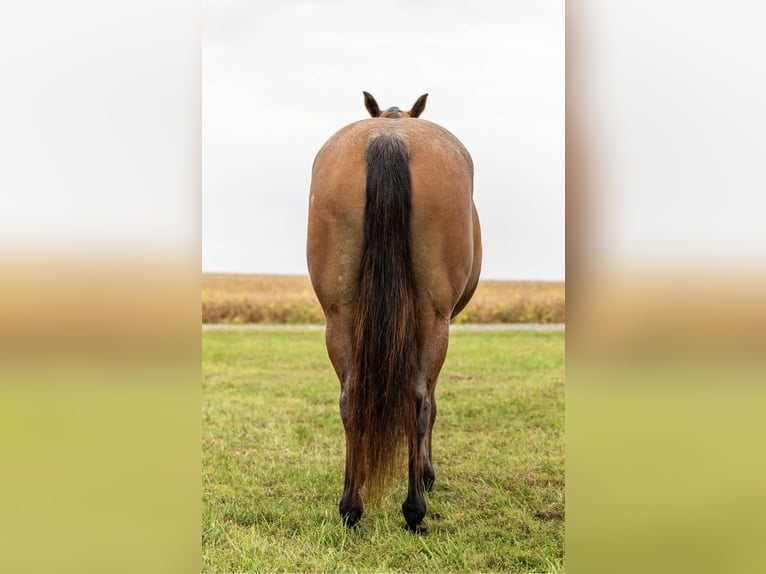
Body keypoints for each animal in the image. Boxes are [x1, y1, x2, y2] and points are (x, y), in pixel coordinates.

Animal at [306, 92, 482, 531]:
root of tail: (389, 137)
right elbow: (430, 401)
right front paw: (427, 473)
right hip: (432, 318)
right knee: (419, 400)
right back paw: (415, 510)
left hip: (339, 315)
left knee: (350, 398)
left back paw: (350, 507)